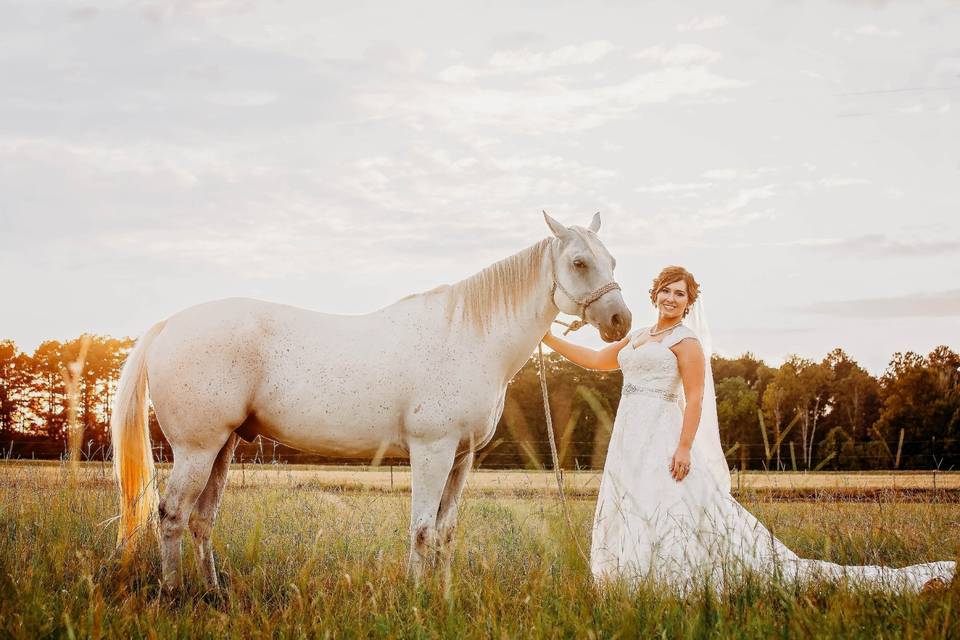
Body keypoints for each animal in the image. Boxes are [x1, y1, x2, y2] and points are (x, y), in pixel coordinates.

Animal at [110, 212, 632, 592]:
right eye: (580, 262)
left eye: (613, 260)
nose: (620, 321)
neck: (468, 335)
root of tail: (169, 324)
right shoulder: (432, 450)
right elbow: (422, 529)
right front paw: (417, 598)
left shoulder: (462, 458)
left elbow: (445, 532)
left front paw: (442, 593)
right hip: (197, 450)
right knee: (172, 515)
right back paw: (174, 594)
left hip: (223, 448)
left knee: (201, 520)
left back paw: (213, 593)